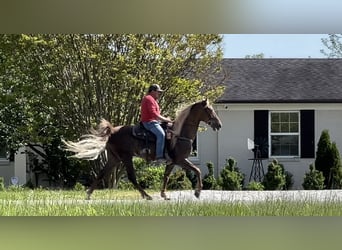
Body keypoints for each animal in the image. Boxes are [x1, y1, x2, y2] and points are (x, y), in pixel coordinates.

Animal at [62, 99, 222, 199]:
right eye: (209, 110)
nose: (219, 124)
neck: (179, 134)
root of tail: (112, 131)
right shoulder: (181, 160)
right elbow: (198, 170)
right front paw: (197, 192)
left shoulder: (172, 162)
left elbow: (166, 176)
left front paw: (164, 195)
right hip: (126, 157)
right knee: (132, 177)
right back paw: (147, 196)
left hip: (114, 158)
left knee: (102, 173)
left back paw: (88, 194)